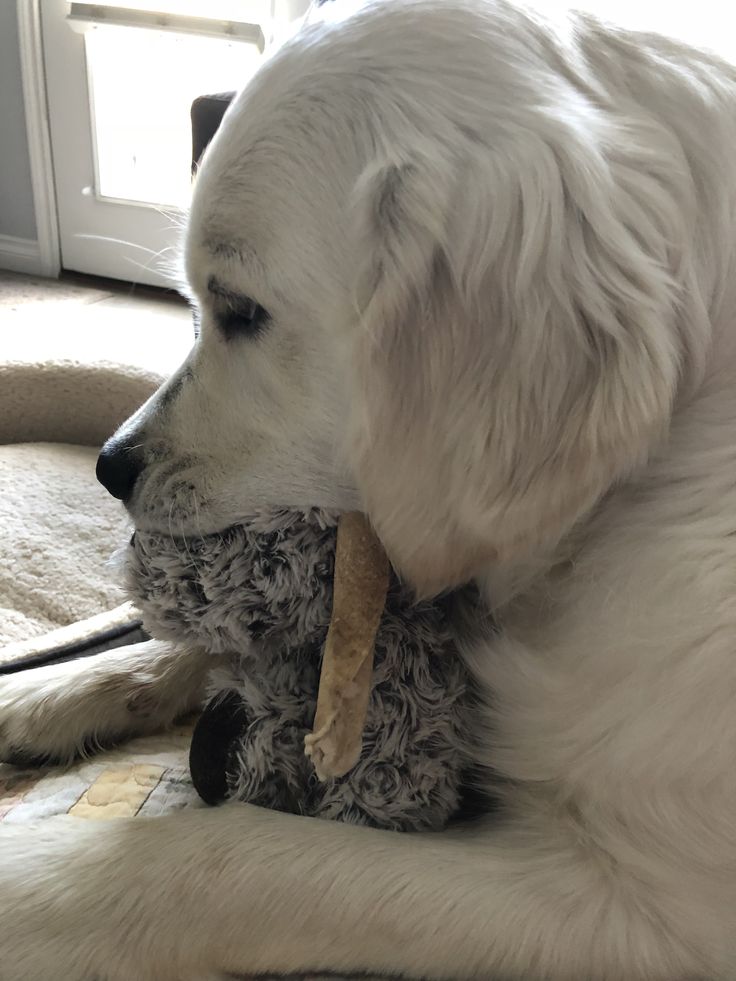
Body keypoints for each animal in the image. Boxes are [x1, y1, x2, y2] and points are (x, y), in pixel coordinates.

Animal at [1, 0, 736, 976]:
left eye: (240, 310)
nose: (109, 465)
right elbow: (199, 645)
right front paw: (46, 691)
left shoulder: (636, 914)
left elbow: (229, 856)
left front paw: (37, 883)